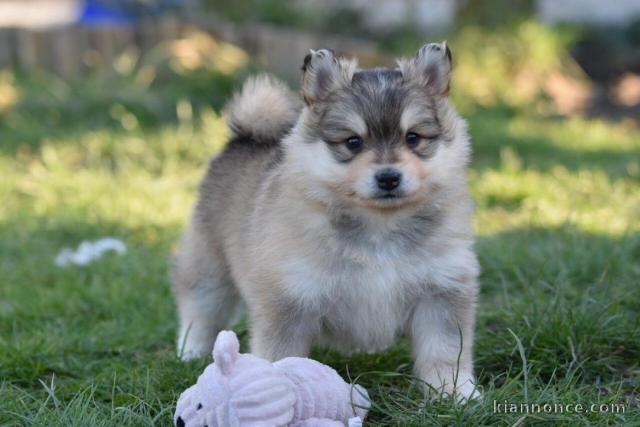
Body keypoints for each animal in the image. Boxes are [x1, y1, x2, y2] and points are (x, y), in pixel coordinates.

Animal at [175, 41, 480, 400]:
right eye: (353, 142)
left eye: (413, 138)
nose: (388, 178)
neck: (379, 224)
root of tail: (246, 136)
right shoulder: (289, 298)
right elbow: (280, 356)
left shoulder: (441, 291)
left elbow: (444, 352)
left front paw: (455, 393)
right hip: (210, 266)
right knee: (200, 311)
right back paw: (190, 352)